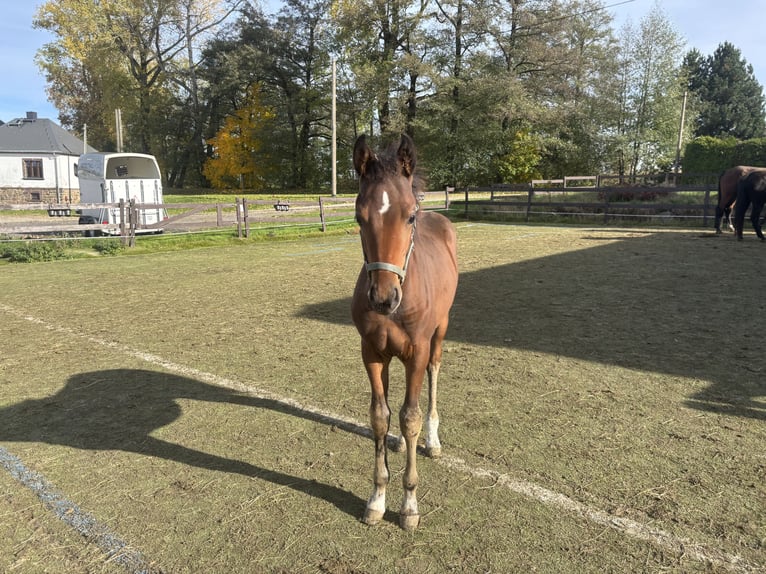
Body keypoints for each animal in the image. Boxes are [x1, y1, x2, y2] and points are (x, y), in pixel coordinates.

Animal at [351, 133, 458, 531]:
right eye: (358, 216)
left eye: (410, 214)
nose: (383, 298)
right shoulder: (371, 353)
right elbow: (379, 417)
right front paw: (377, 498)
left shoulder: (417, 352)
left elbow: (409, 416)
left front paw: (409, 504)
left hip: (440, 332)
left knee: (434, 373)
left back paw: (433, 439)